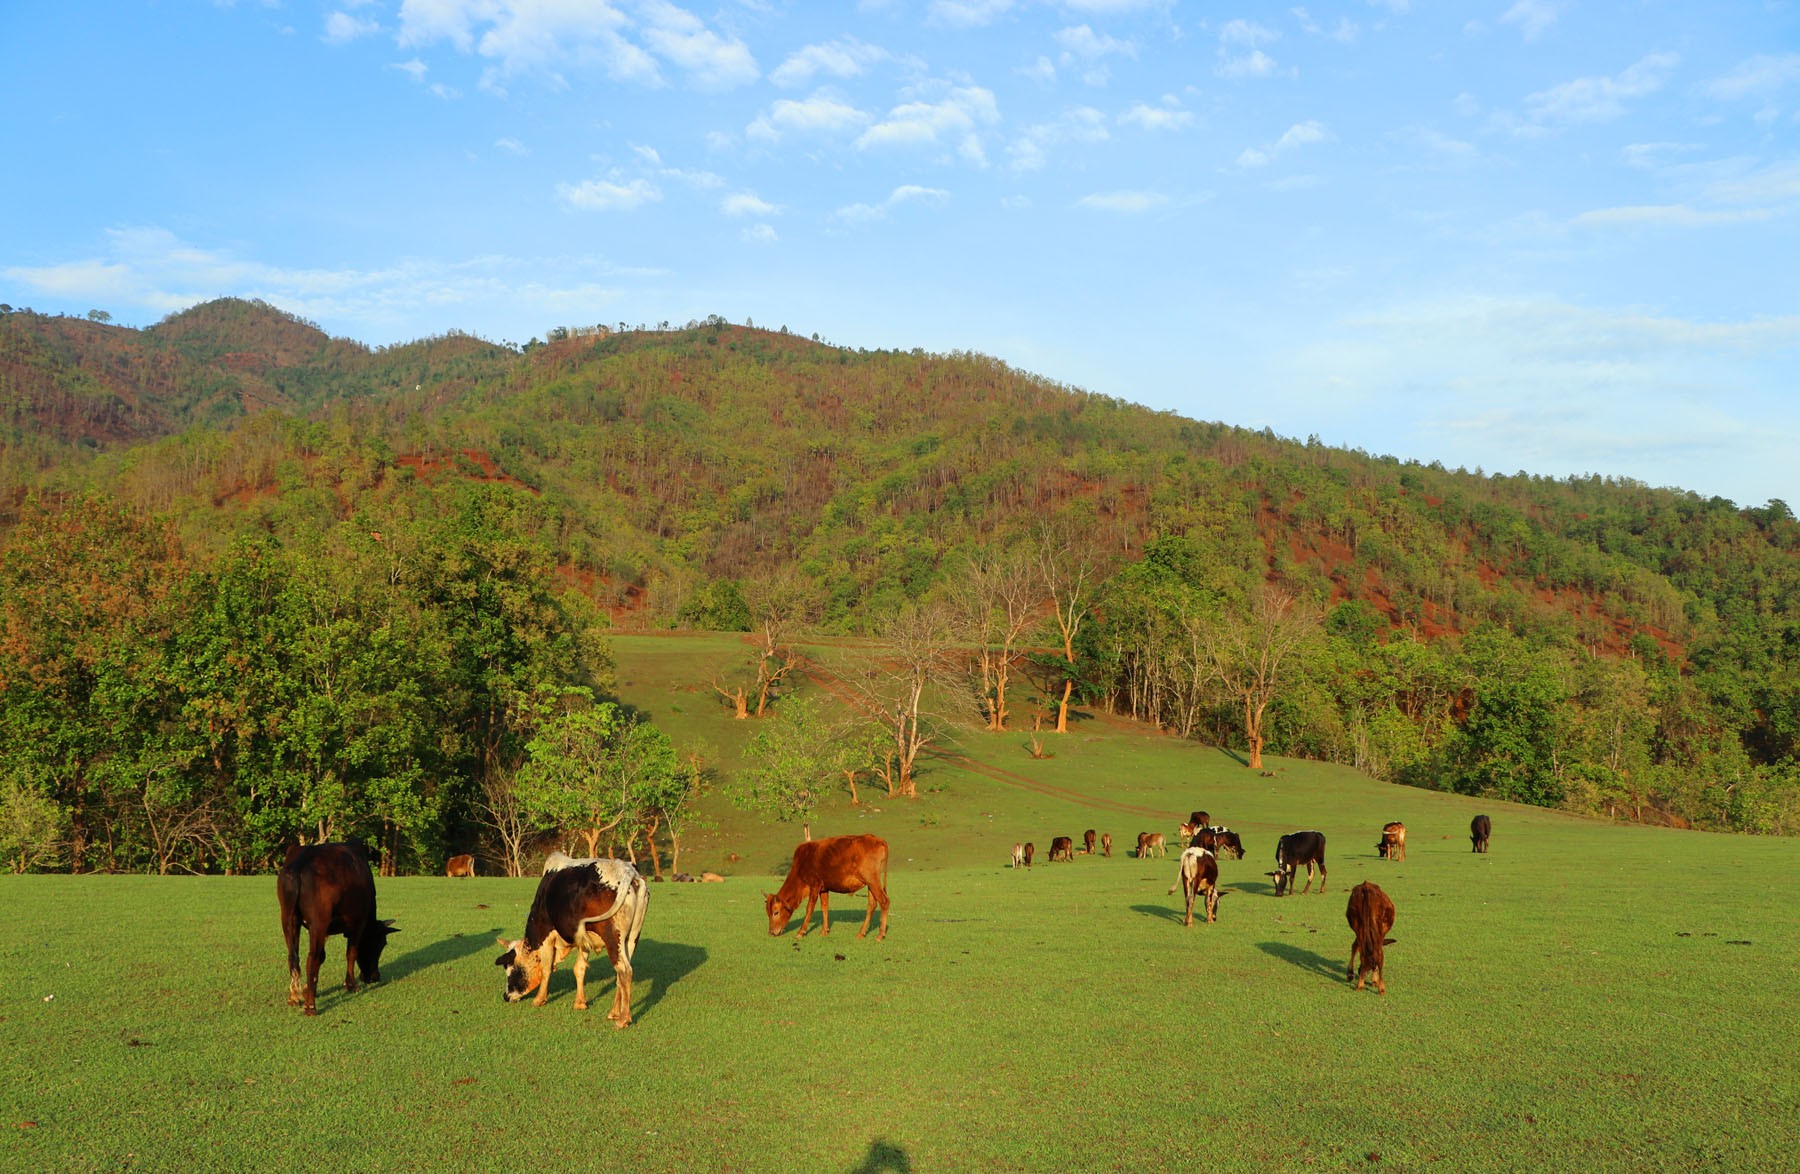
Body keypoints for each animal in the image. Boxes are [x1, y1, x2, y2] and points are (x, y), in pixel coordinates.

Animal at [277, 839, 397, 1015]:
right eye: (380, 944)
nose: (375, 977)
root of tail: (301, 860)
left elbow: (322, 956)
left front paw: (307, 989)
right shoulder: (357, 924)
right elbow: (351, 953)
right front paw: (351, 984)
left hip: (288, 918)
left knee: (293, 957)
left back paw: (294, 997)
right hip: (318, 924)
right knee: (310, 960)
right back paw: (310, 1006)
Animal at [496, 853, 651, 1029]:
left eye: (509, 970)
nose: (506, 996)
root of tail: (628, 871)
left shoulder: (546, 935)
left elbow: (546, 969)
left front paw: (539, 999)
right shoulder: (584, 940)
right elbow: (579, 968)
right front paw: (580, 1003)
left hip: (613, 937)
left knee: (624, 970)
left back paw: (623, 1019)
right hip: (631, 938)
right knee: (623, 973)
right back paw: (614, 1012)